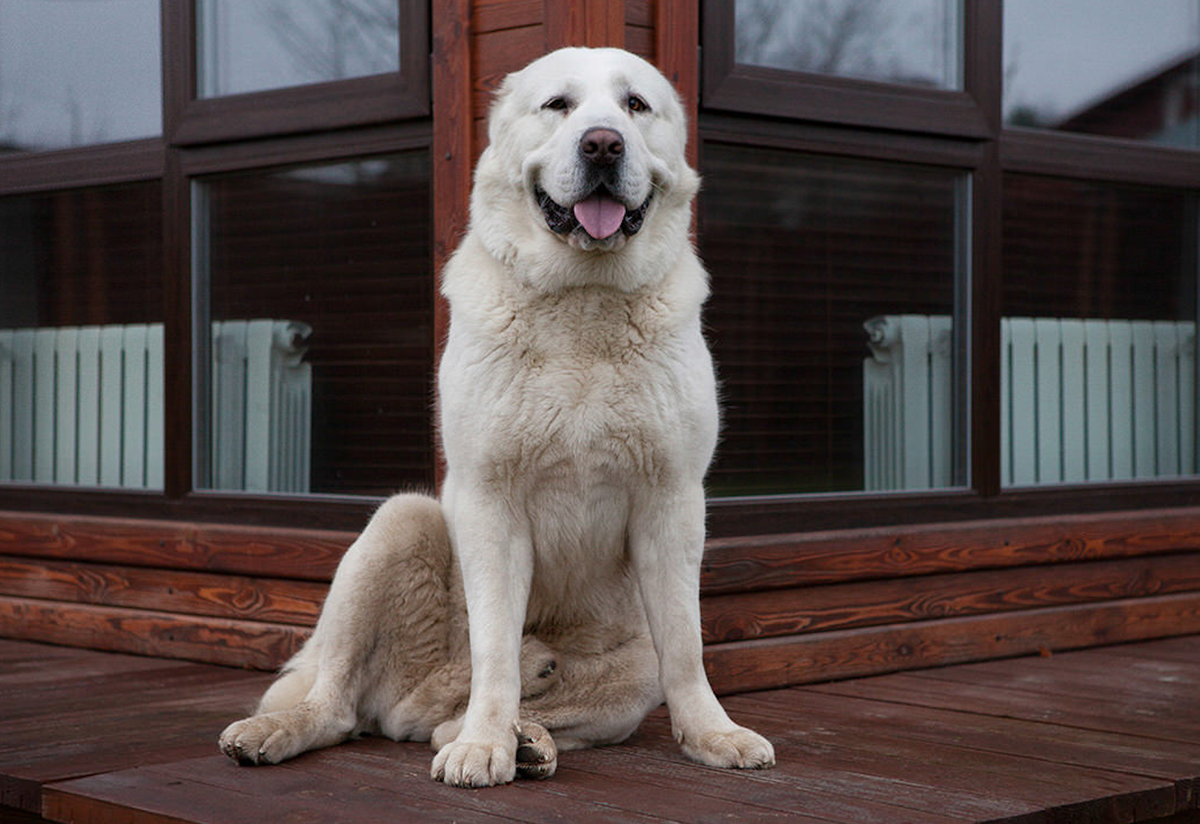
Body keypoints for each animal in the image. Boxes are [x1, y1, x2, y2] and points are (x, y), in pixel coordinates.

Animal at [219, 43, 772, 786]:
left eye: (634, 105)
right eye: (559, 105)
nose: (604, 144)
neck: (582, 302)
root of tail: (411, 702)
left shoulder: (673, 501)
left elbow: (687, 644)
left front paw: (712, 733)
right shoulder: (489, 501)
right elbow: (495, 647)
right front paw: (486, 744)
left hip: (633, 669)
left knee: (454, 720)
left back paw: (530, 740)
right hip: (401, 522)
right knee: (338, 703)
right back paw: (283, 732)